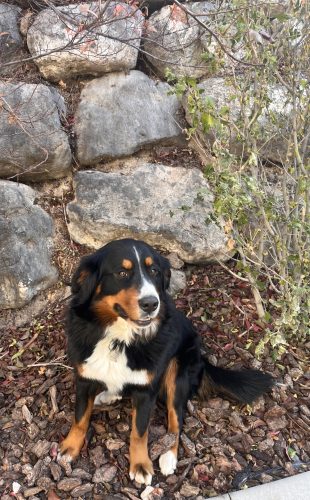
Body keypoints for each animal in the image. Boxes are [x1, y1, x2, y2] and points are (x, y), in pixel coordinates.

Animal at [58, 238, 274, 484]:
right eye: (122, 273)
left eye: (154, 271)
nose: (151, 303)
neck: (119, 338)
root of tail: (202, 357)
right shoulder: (84, 379)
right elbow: (80, 418)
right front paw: (70, 447)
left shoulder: (146, 390)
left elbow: (139, 431)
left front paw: (141, 465)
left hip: (177, 372)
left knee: (175, 419)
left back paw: (168, 456)